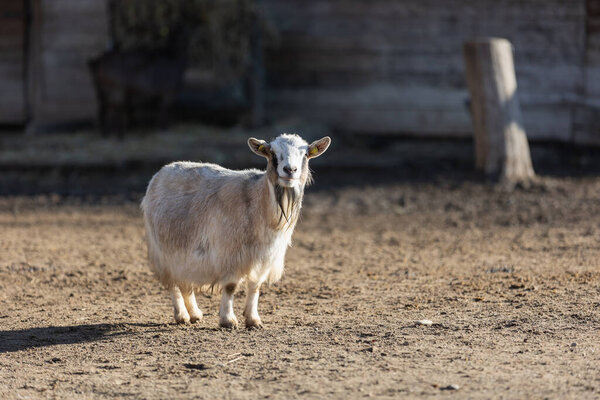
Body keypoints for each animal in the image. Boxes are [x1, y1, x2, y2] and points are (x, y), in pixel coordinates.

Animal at [140, 134, 330, 328]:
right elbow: (230, 286)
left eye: (305, 154)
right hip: (163, 252)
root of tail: (161, 173)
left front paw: (253, 319)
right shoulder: (230, 253)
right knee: (173, 283)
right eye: (272, 153)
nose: (290, 170)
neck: (258, 202)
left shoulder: (264, 256)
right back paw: (182, 315)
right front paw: (228, 320)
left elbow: (255, 286)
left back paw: (195, 314)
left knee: (185, 282)